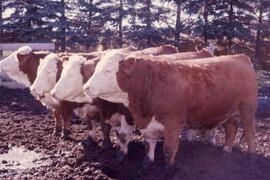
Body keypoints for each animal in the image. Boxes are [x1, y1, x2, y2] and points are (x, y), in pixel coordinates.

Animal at [83, 51, 258, 169]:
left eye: (108, 70)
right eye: (96, 69)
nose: (86, 87)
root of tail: (240, 56)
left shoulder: (173, 123)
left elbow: (168, 149)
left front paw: (168, 170)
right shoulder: (148, 123)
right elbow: (149, 144)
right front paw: (147, 163)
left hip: (247, 108)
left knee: (249, 131)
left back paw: (251, 157)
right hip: (229, 111)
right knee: (232, 128)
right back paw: (226, 151)